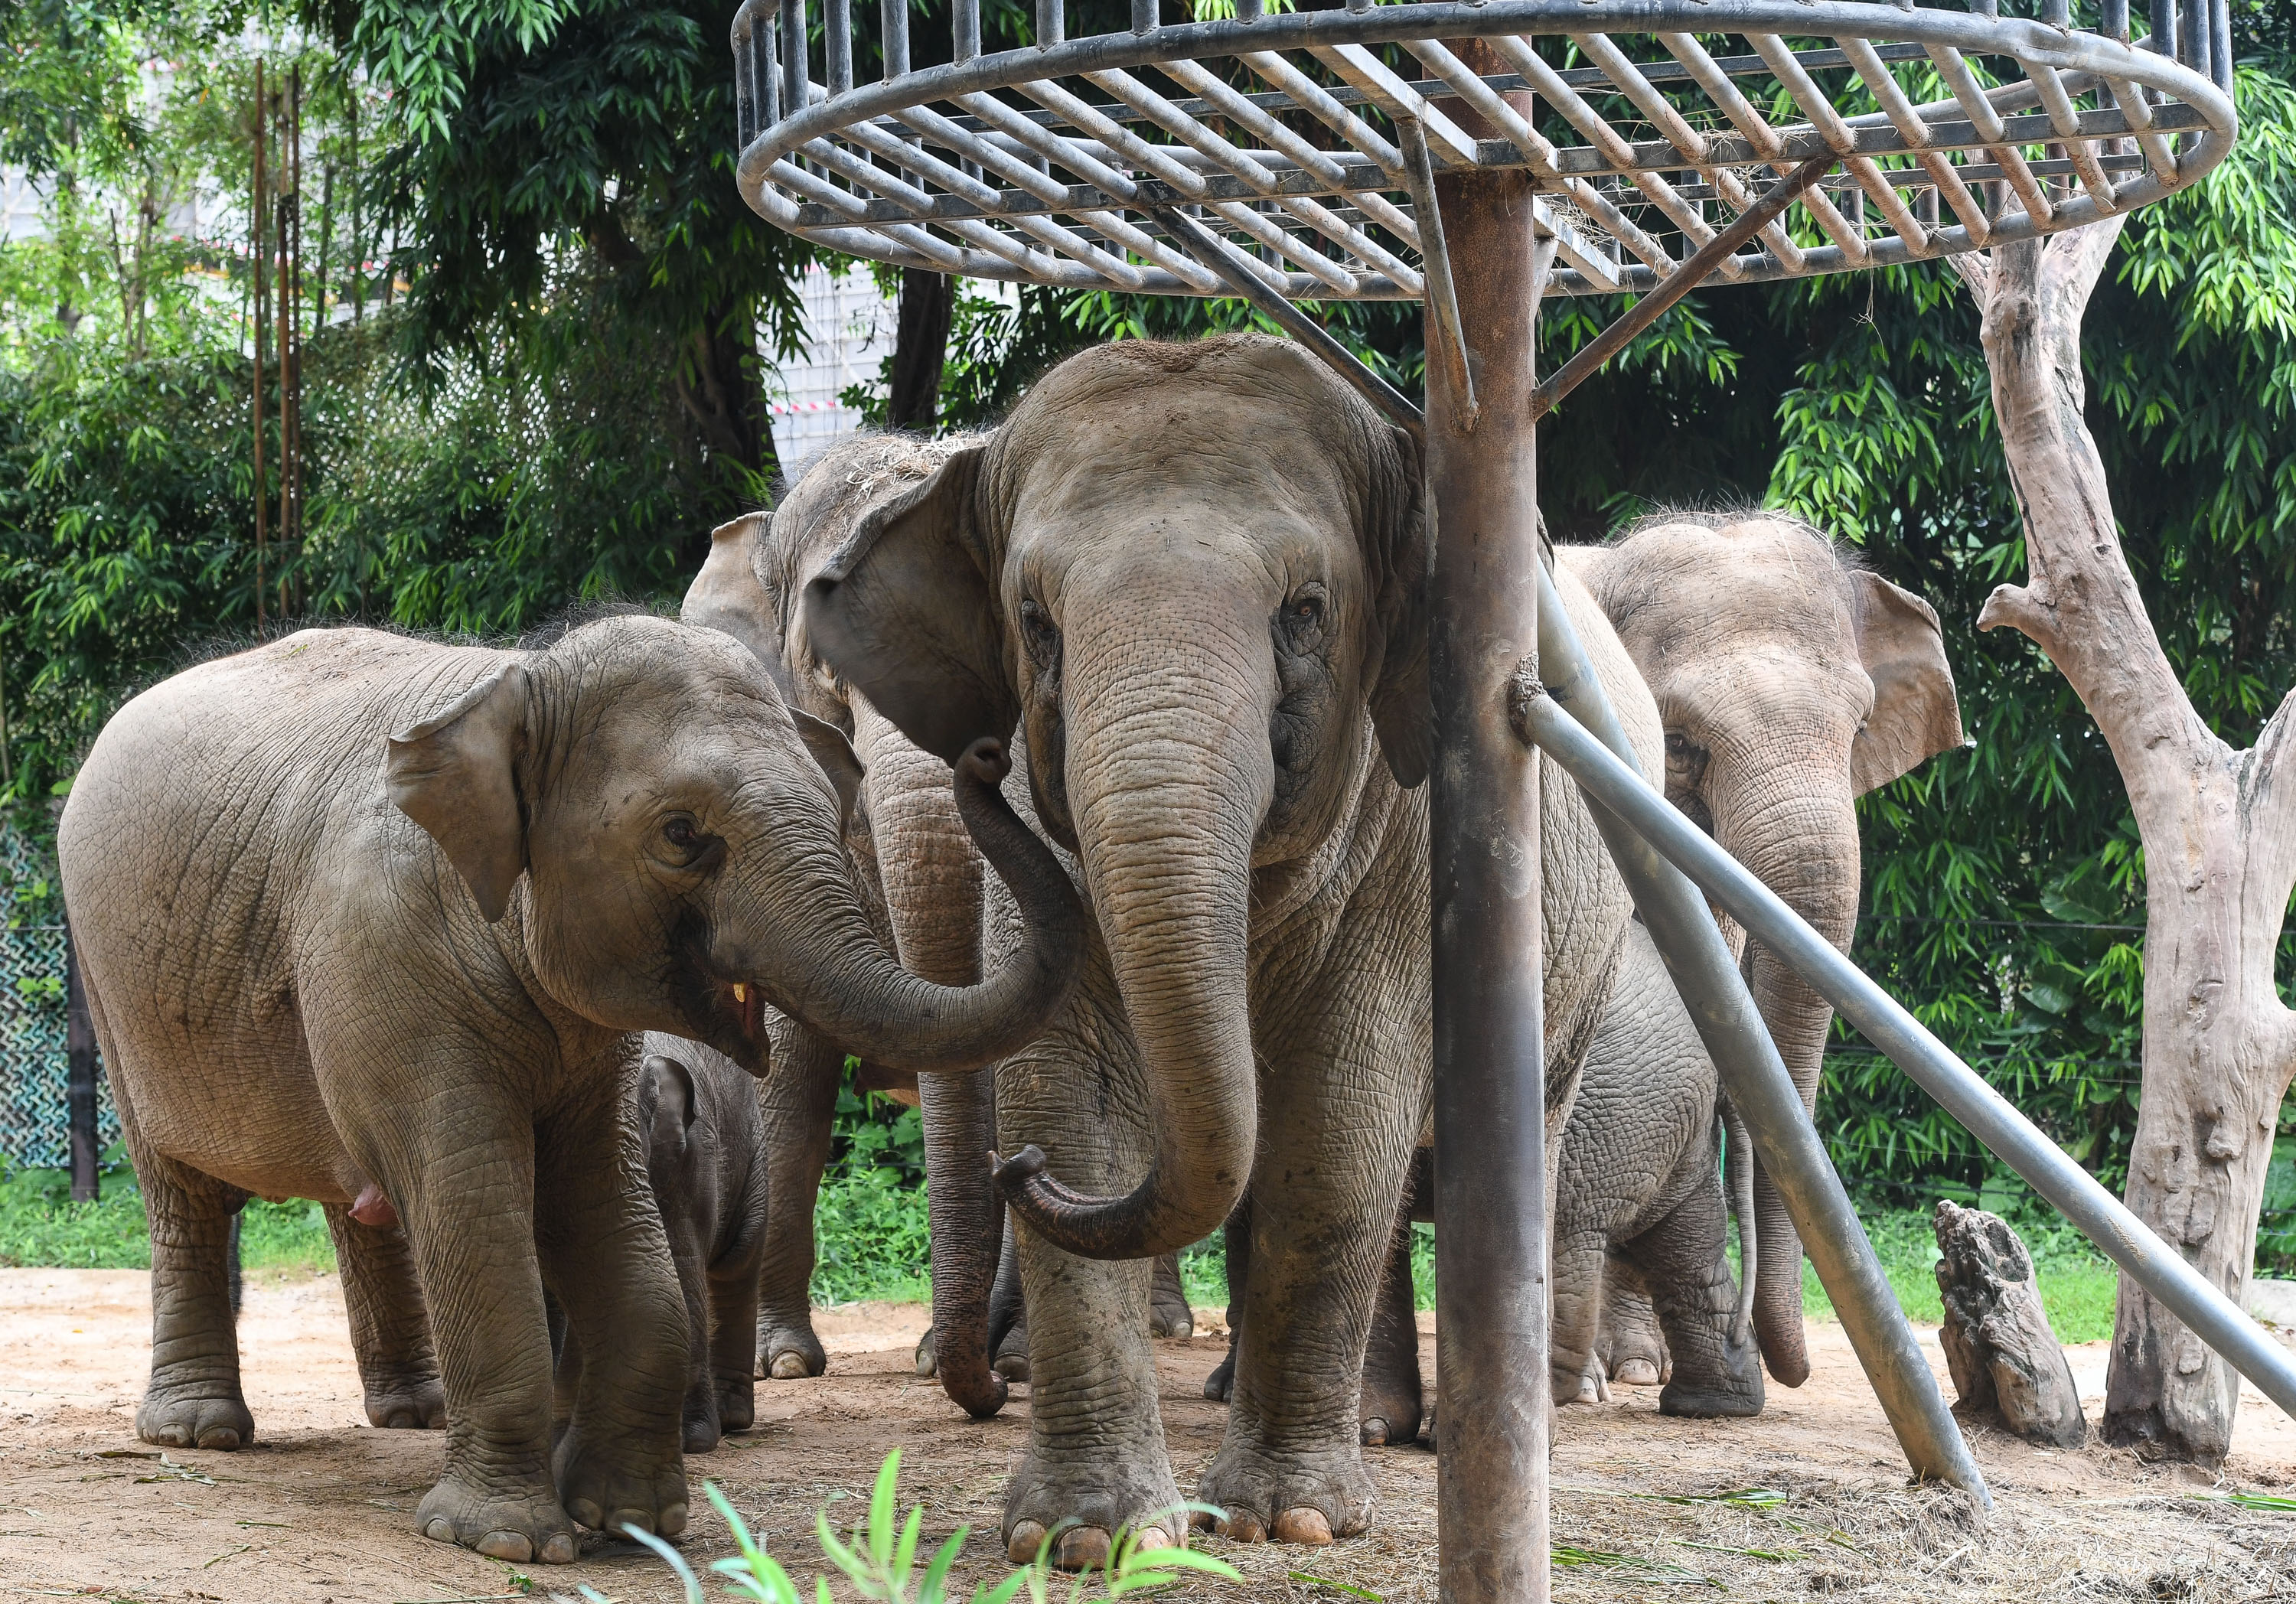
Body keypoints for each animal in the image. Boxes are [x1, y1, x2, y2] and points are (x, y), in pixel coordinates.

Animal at [55, 615, 1083, 1564]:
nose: (991, 750)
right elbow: (473, 1201)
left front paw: (632, 1520)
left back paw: (416, 1413)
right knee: (182, 1192)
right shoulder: (380, 938)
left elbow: (605, 1206)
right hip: (109, 984)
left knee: (356, 1191)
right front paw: (509, 1539)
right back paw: (200, 1431)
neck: (518, 682)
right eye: (682, 835)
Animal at [800, 334, 1660, 1564]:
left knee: (1517, 1131)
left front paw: (1282, 1521)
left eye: (1305, 610)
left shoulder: (1409, 831)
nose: (981, 757)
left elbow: (1340, 1117)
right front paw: (1086, 1540)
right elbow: (1075, 1089)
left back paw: (1480, 1432)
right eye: (1036, 622)